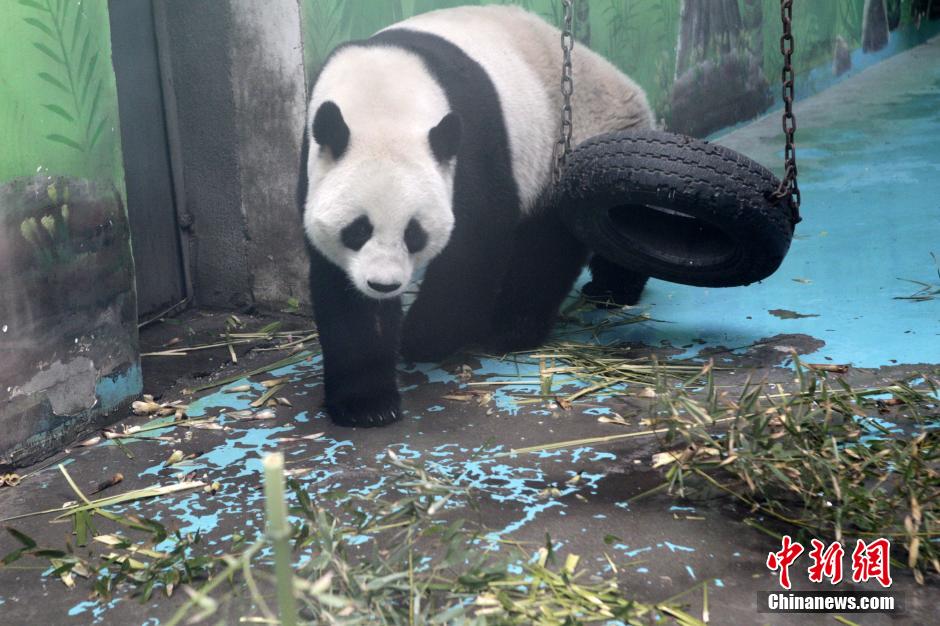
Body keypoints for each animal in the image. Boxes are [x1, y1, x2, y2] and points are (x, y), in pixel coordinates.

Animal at [302, 6, 652, 424]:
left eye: (414, 233)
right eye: (357, 230)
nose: (384, 285)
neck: (383, 96)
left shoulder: (471, 141)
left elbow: (475, 242)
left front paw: (424, 337)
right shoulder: (316, 163)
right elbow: (340, 287)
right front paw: (367, 404)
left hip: (572, 144)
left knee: (555, 246)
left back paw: (527, 323)